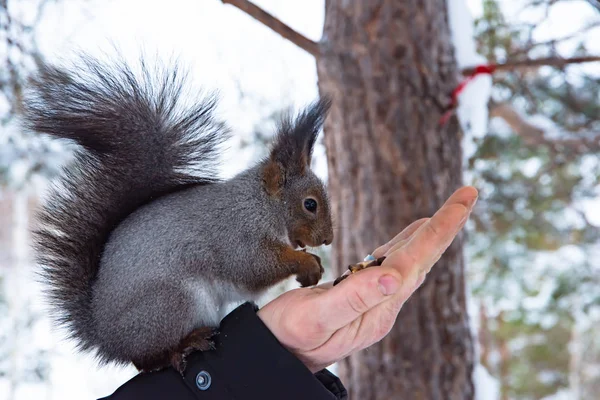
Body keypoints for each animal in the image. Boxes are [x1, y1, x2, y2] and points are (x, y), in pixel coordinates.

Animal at [23, 54, 332, 374]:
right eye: (310, 204)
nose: (328, 240)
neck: (259, 205)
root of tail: (108, 338)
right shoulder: (236, 234)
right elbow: (254, 265)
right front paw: (307, 263)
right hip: (173, 302)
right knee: (149, 360)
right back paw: (184, 346)